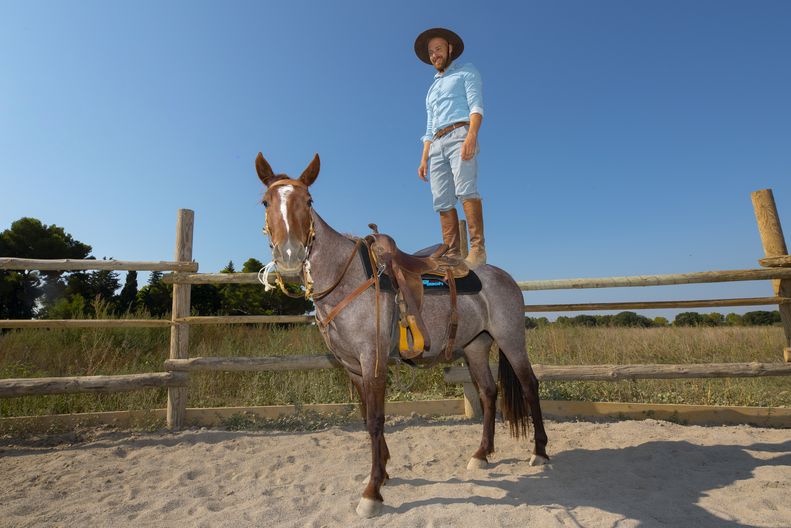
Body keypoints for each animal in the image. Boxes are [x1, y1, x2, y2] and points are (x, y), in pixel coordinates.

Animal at [254, 152, 549, 518]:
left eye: (308, 201)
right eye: (266, 201)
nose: (290, 256)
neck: (346, 278)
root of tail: (505, 277)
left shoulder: (373, 359)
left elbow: (376, 419)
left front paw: (371, 491)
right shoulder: (353, 367)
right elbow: (367, 415)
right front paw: (382, 472)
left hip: (511, 340)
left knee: (529, 385)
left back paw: (539, 452)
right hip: (476, 347)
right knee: (488, 392)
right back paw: (482, 454)